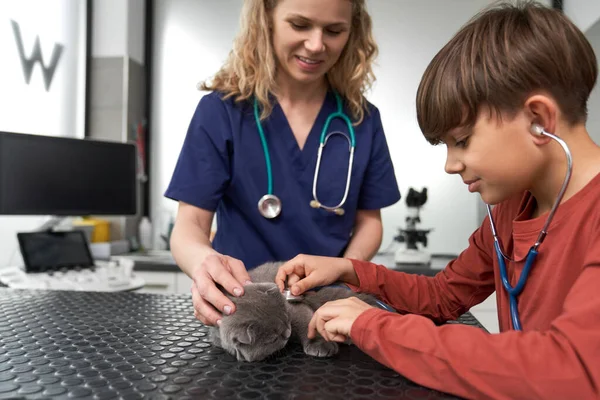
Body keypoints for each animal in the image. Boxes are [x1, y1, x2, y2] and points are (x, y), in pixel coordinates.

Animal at [207, 260, 384, 364]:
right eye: (273, 339)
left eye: (286, 317)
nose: (287, 333)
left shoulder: (295, 308)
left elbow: (307, 323)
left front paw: (319, 344)